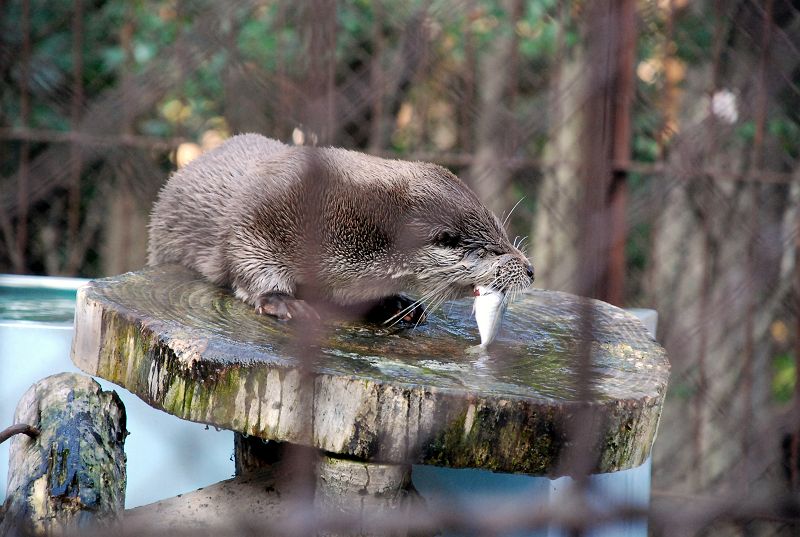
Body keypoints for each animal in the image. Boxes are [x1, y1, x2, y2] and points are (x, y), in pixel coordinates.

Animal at [148, 133, 536, 322]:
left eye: (502, 234)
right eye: (493, 250)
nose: (530, 269)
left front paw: (396, 303)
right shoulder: (257, 221)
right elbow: (245, 264)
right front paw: (283, 303)